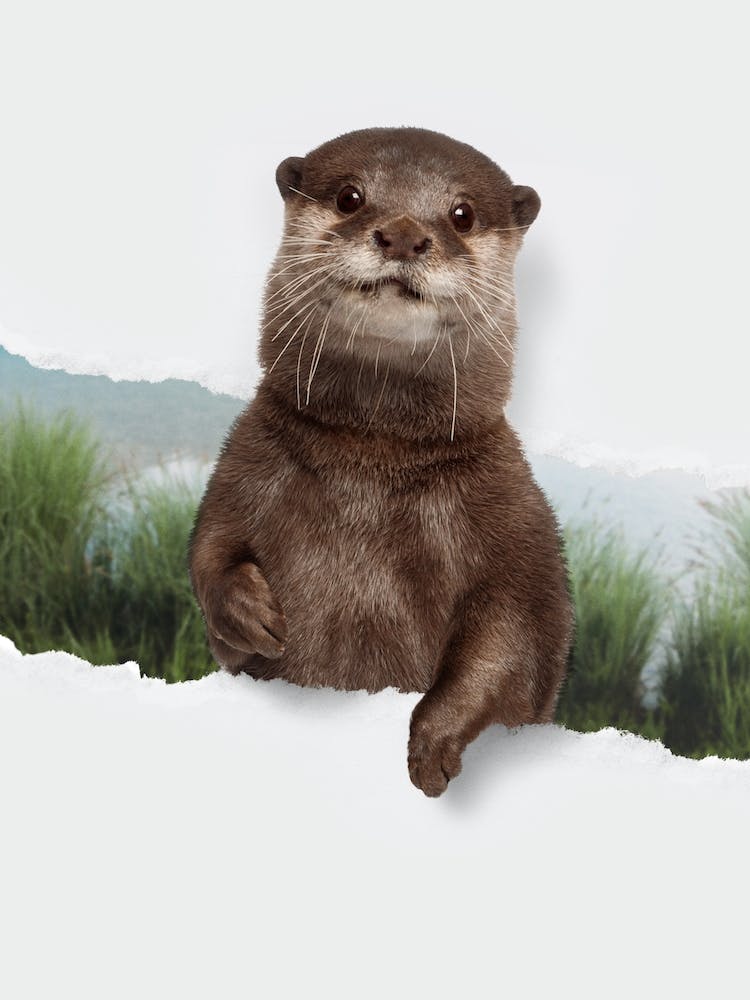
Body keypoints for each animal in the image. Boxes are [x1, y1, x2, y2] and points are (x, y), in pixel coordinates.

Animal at [189, 127, 574, 797]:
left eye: (462, 214)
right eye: (350, 196)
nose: (402, 234)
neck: (371, 466)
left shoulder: (516, 527)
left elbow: (512, 641)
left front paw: (433, 744)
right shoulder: (243, 469)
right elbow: (208, 551)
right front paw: (248, 615)